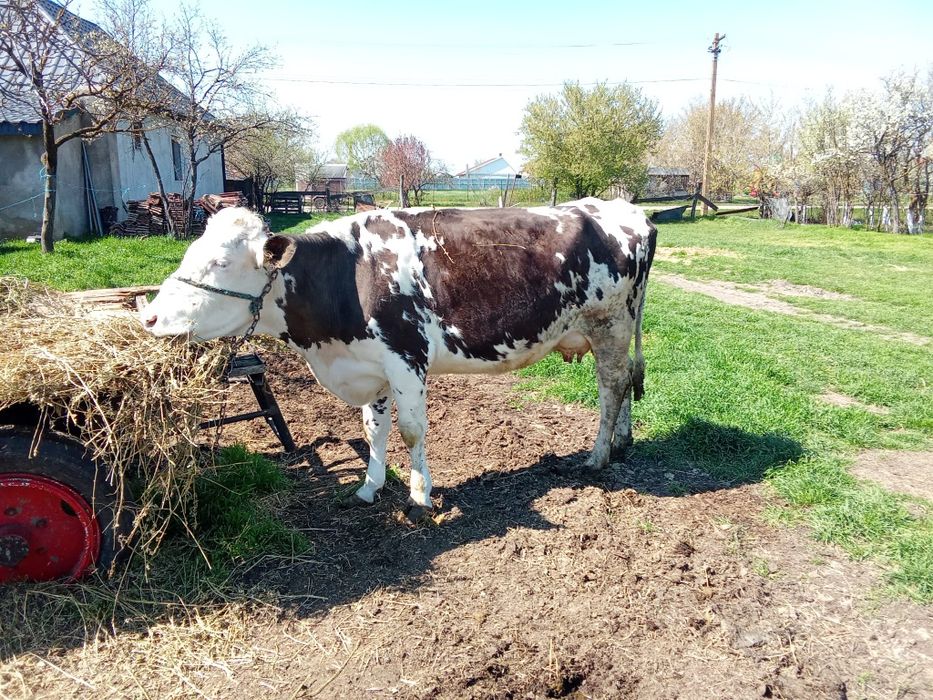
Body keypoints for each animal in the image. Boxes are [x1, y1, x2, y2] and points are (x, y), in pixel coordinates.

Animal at [142, 198, 657, 519]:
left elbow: (411, 430)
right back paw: (622, 442)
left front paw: (419, 495)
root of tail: (625, 209)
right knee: (622, 383)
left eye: (220, 264)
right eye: (191, 251)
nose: (148, 316)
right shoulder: (371, 367)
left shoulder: (407, 358)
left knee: (611, 386)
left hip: (609, 323)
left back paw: (597, 457)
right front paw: (369, 487)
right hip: (618, 327)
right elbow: (374, 429)